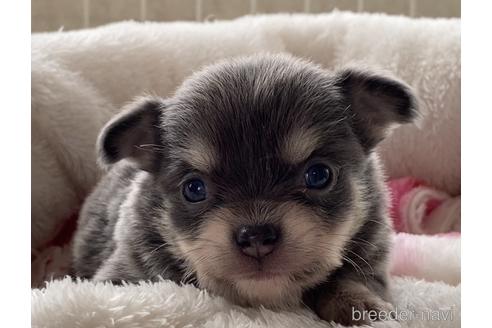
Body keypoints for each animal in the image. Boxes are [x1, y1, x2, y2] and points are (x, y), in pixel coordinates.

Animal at [73, 53, 418, 326]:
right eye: (194, 188)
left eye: (319, 175)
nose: (256, 236)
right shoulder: (120, 278)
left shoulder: (371, 262)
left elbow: (344, 280)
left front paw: (361, 306)